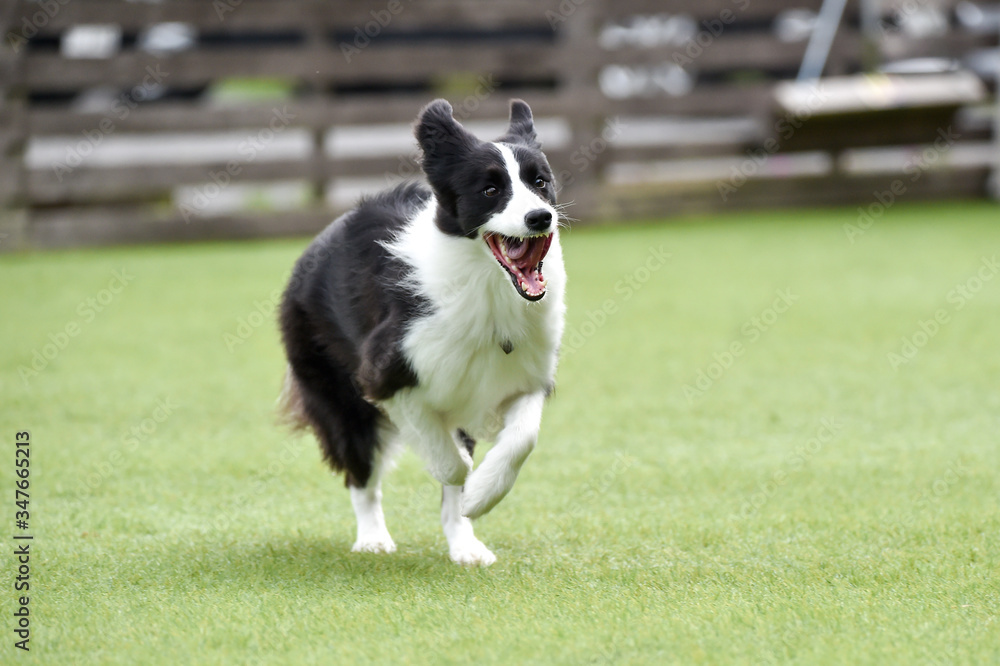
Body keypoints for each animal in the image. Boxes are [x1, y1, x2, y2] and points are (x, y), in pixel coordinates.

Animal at [278, 98, 568, 564]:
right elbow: (450, 461)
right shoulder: (386, 375)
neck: (488, 291)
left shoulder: (526, 376)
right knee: (361, 475)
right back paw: (373, 539)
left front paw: (481, 497)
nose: (540, 217)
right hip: (338, 397)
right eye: (490, 190)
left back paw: (466, 547)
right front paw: (467, 487)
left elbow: (522, 439)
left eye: (539, 182)